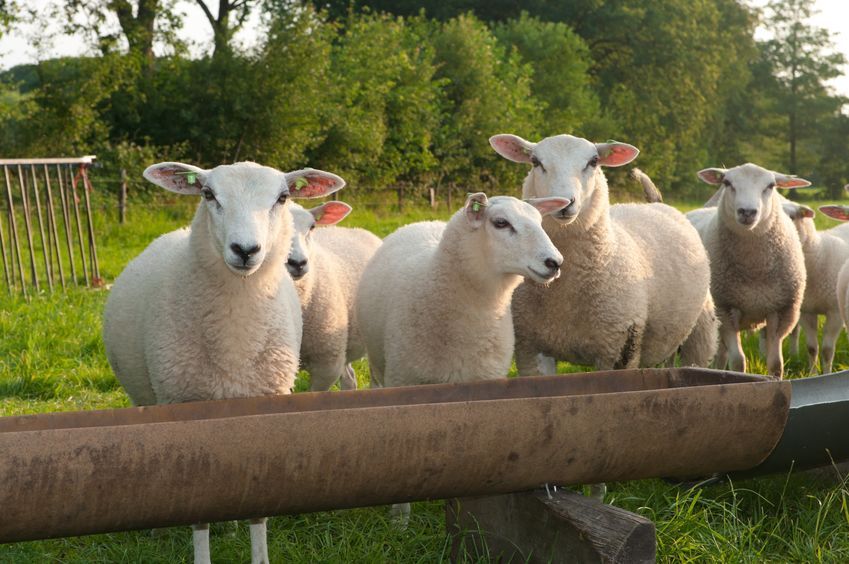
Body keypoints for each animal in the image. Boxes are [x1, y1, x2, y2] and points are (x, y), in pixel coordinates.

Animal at [102, 161, 345, 564]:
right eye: (208, 194)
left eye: (282, 197)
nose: (245, 249)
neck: (236, 337)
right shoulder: (184, 405)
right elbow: (198, 511)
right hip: (145, 396)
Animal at [355, 192, 566, 522]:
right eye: (501, 223)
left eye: (540, 220)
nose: (554, 263)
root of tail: (423, 221)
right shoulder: (404, 379)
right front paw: (400, 519)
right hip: (380, 365)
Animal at [489, 133, 717, 376]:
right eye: (535, 161)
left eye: (593, 161)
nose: (564, 202)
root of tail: (657, 204)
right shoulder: (530, 349)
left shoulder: (619, 347)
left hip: (702, 327)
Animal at [691, 163, 809, 378]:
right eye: (727, 182)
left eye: (771, 185)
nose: (747, 212)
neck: (754, 269)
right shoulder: (724, 308)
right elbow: (738, 361)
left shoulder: (782, 310)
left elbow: (776, 363)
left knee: (720, 355)